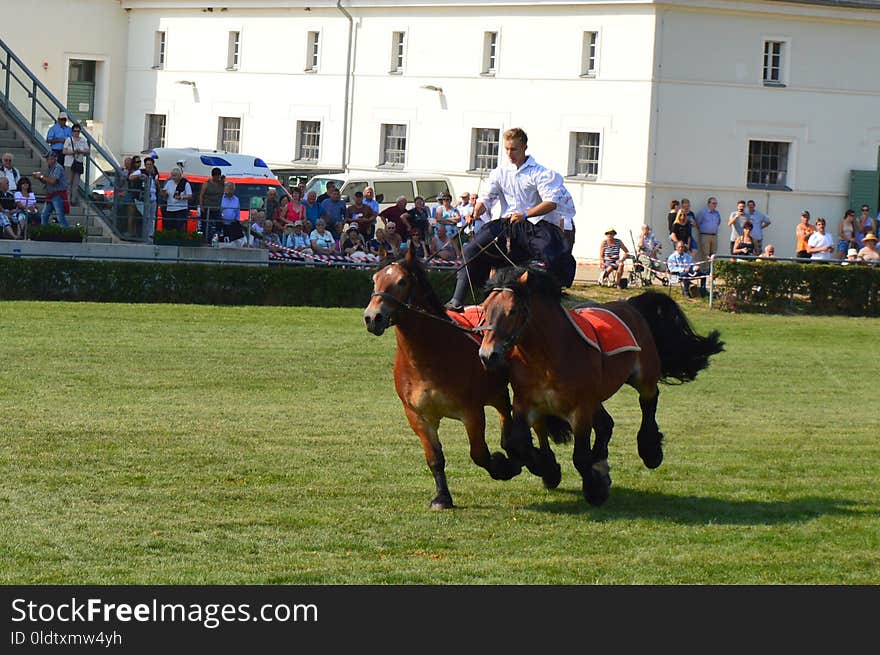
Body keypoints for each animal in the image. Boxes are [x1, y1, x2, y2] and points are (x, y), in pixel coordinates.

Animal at [478, 266, 724, 508]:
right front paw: (542, 468)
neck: (547, 357)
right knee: (607, 424)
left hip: (643, 377)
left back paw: (649, 451)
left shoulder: (581, 409)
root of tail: (630, 304)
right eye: (485, 309)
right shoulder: (525, 403)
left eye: (513, 311)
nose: (488, 355)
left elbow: (580, 457)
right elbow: (514, 443)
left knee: (648, 401)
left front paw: (595, 488)